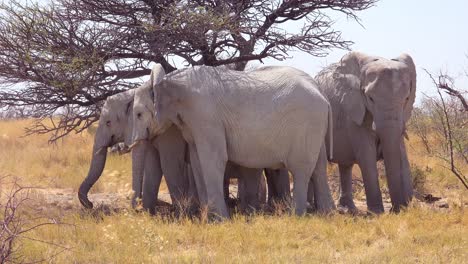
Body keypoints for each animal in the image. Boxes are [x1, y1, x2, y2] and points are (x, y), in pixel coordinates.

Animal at [133, 64, 334, 217]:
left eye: (138, 114)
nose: (138, 210)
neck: (169, 82)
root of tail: (322, 93)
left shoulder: (206, 116)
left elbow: (213, 159)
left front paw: (220, 219)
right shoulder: (193, 123)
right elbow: (197, 161)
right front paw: (208, 217)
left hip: (306, 123)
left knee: (301, 169)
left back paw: (296, 216)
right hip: (315, 127)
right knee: (319, 168)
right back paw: (327, 214)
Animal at [314, 51, 416, 212]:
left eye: (406, 98)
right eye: (370, 98)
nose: (395, 209)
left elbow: (401, 152)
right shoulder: (354, 109)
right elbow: (367, 156)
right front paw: (376, 213)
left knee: (345, 165)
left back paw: (348, 209)